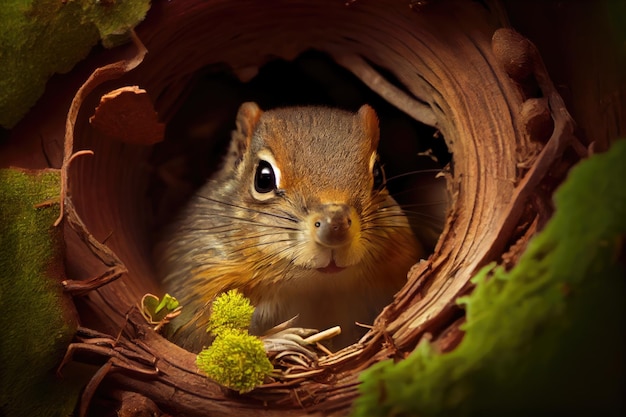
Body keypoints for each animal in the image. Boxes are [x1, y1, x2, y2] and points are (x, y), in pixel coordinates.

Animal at [154, 102, 422, 350]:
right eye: (263, 178)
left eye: (379, 175)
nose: (335, 226)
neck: (315, 288)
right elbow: (198, 343)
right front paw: (278, 340)